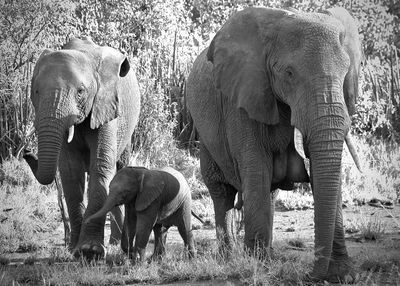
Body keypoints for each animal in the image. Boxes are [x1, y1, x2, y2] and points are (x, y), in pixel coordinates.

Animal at [23, 36, 141, 260]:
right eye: (36, 92)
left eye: (80, 92)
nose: (27, 152)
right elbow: (71, 172)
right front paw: (75, 250)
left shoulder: (105, 105)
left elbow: (100, 166)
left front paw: (91, 251)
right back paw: (112, 243)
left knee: (120, 170)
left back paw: (115, 244)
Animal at [188, 7, 362, 284]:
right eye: (289, 73)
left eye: (346, 72)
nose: (311, 275)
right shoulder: (243, 98)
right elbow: (256, 167)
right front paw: (255, 267)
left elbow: (323, 173)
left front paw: (342, 275)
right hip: (204, 134)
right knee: (221, 192)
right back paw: (230, 261)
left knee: (268, 193)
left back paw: (266, 256)